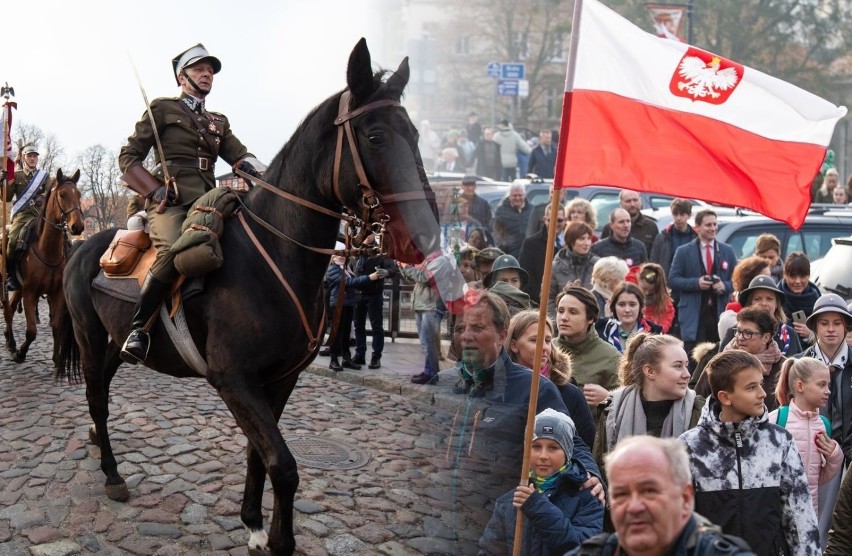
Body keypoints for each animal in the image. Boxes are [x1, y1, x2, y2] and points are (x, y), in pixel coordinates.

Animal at [3, 169, 83, 368]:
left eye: (79, 194)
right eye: (62, 195)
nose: (77, 226)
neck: (48, 251)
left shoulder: (57, 293)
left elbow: (56, 326)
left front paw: (56, 358)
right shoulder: (30, 292)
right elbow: (31, 330)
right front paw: (21, 353)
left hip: (19, 288)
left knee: (11, 308)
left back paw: (9, 340)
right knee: (7, 311)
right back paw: (13, 344)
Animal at [57, 41, 442, 552]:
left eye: (415, 134)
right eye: (376, 136)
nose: (425, 233)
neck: (275, 257)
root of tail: (83, 246)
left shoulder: (279, 379)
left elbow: (259, 453)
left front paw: (254, 522)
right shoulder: (234, 380)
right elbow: (284, 464)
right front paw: (279, 539)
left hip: (114, 345)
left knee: (99, 388)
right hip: (88, 335)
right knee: (97, 398)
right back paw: (112, 474)